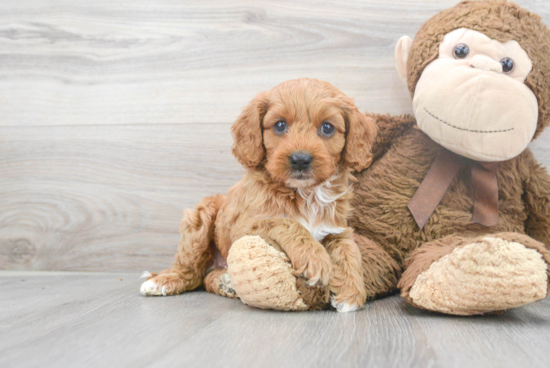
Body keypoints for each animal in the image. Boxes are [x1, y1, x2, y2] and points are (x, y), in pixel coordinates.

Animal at [140, 79, 378, 312]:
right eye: (280, 125)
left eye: (327, 127)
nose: (300, 160)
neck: (306, 194)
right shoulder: (246, 225)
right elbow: (287, 223)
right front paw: (315, 259)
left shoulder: (336, 229)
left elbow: (349, 250)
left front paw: (352, 291)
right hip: (200, 217)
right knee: (191, 271)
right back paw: (163, 281)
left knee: (207, 279)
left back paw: (226, 282)